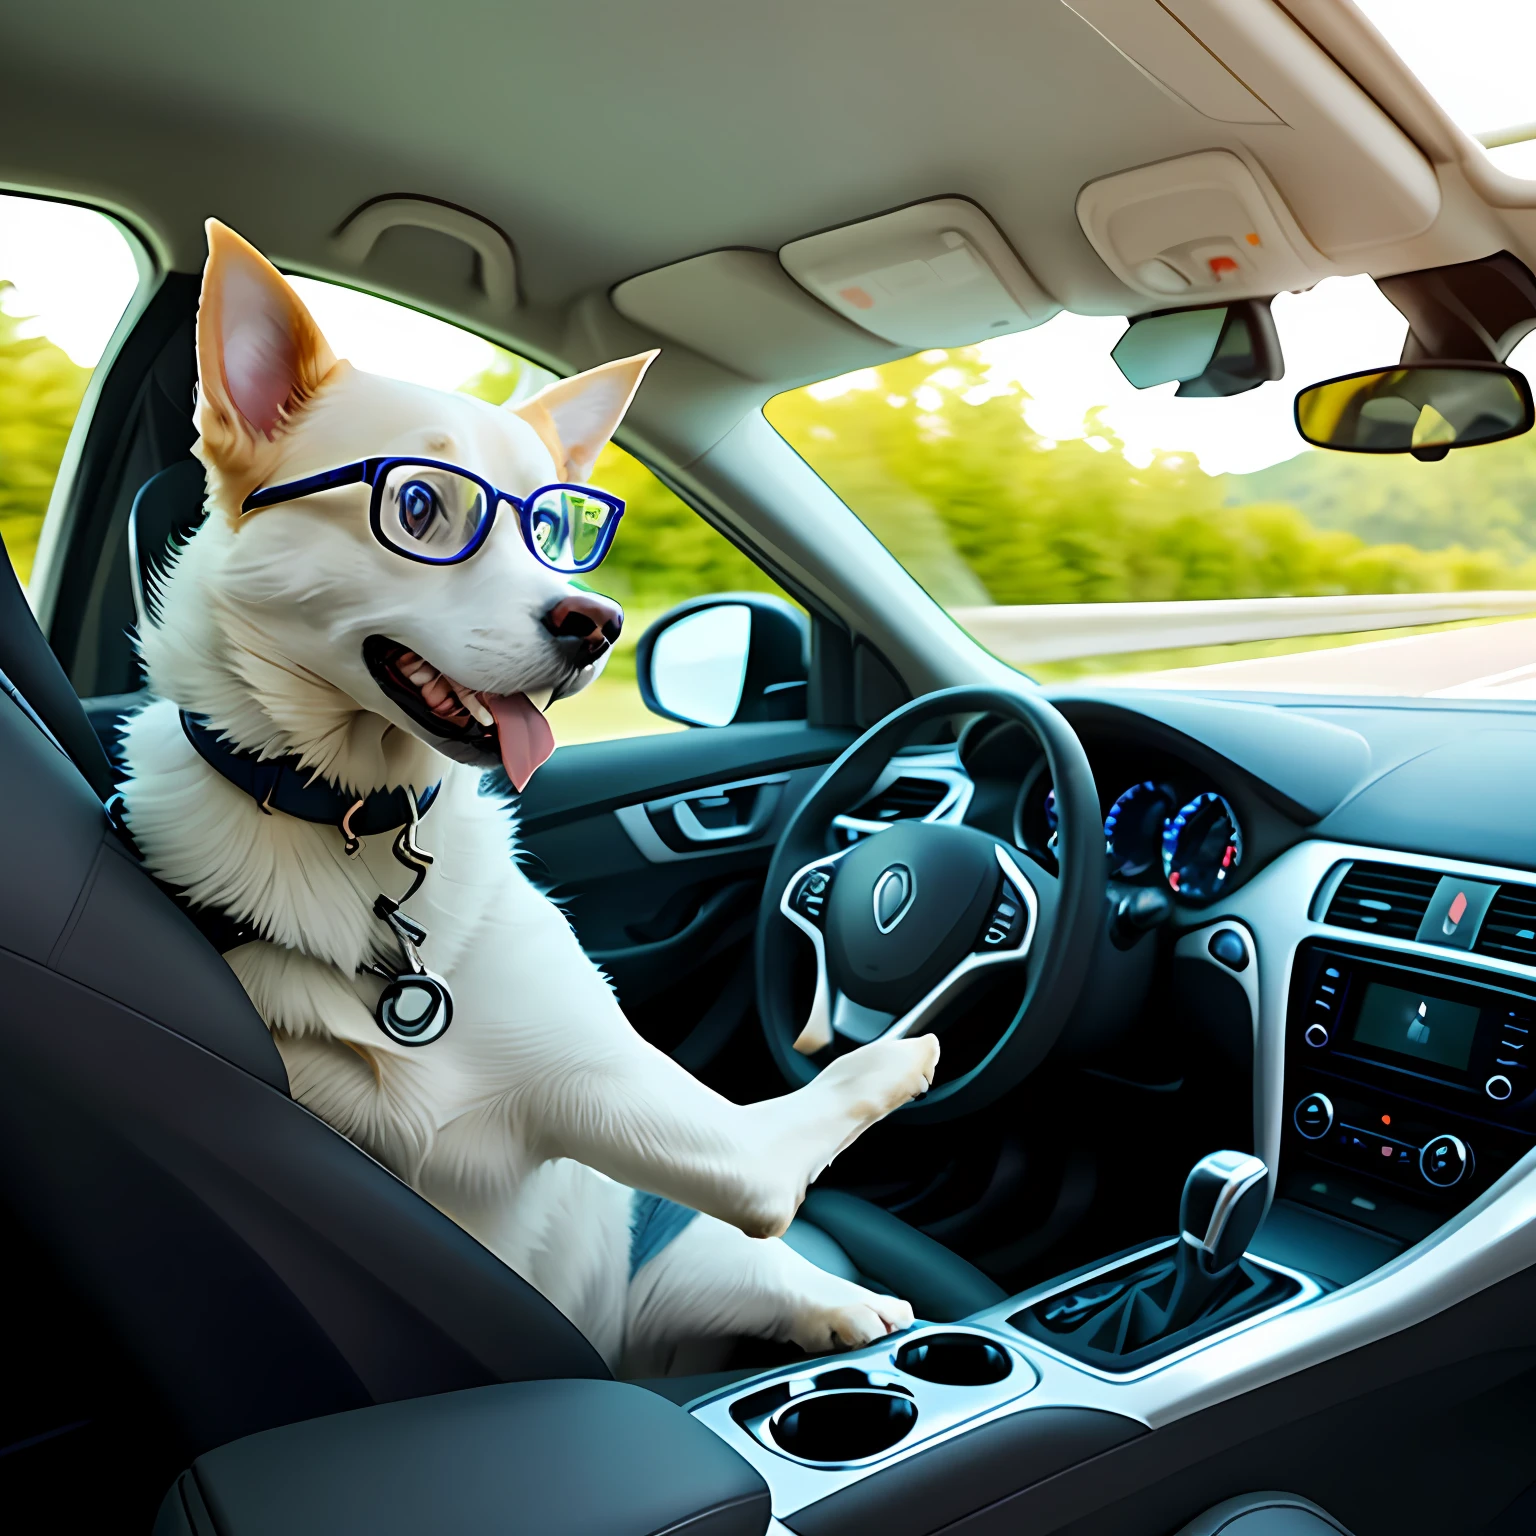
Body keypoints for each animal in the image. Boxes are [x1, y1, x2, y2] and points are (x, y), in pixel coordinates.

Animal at [119, 219, 940, 1382]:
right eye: (420, 505)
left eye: (560, 525)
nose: (598, 622)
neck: (349, 820)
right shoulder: (736, 1159)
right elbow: (815, 1117)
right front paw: (909, 1043)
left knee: (776, 1280)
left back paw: (843, 1308)